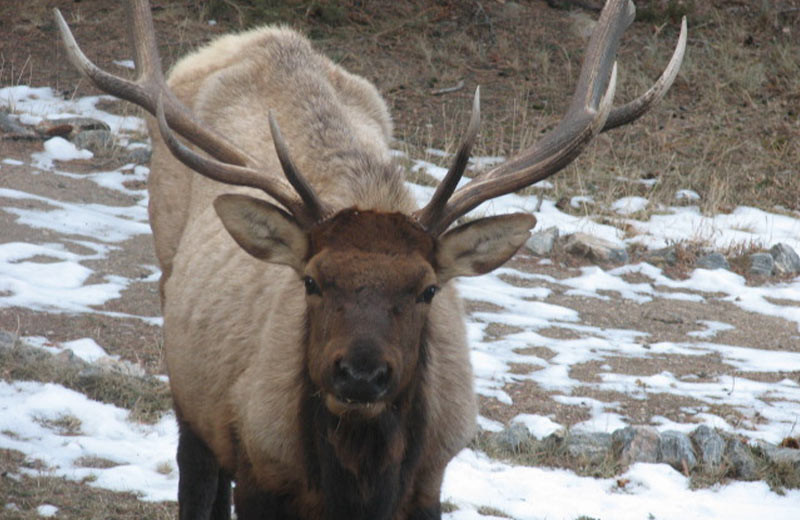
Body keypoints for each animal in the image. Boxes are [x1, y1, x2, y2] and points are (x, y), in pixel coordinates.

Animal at [53, 1, 684, 520]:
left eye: (428, 288)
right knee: (198, 479)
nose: (360, 373)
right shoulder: (262, 471)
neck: (358, 484)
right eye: (311, 281)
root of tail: (262, 35)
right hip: (190, 376)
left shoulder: (429, 484)